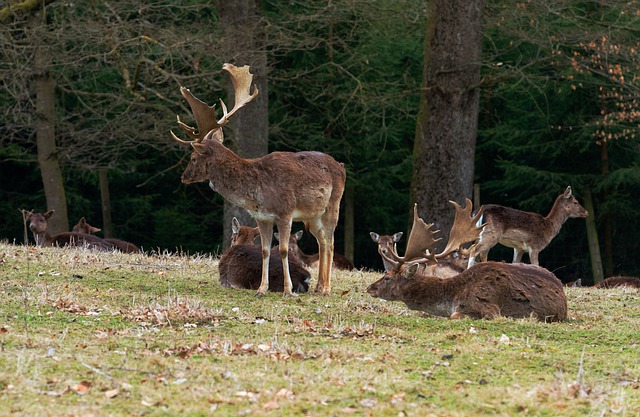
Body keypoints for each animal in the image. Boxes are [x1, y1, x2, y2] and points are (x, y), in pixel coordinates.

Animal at [171, 63, 344, 294]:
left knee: (331, 242)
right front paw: (262, 289)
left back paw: (326, 288)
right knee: (322, 242)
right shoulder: (262, 217)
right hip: (312, 215)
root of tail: (341, 167)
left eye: (193, 157)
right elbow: (264, 250)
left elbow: (283, 249)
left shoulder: (285, 212)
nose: (183, 177)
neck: (258, 192)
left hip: (333, 205)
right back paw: (318, 287)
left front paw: (288, 290)